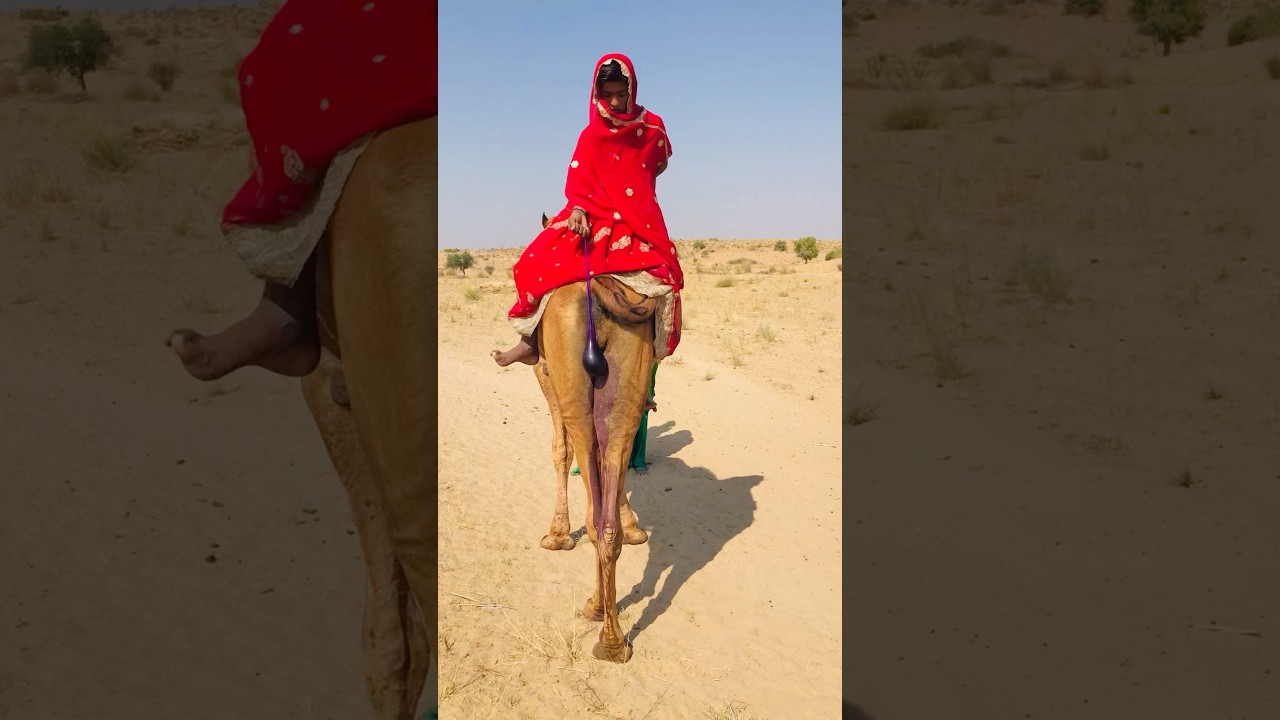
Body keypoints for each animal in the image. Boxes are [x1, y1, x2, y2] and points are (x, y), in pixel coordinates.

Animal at [530, 236, 660, 663]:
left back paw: (600, 615)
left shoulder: (543, 370)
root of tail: (600, 287)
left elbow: (559, 450)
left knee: (584, 457)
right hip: (630, 358)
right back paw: (613, 638)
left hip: (567, 368)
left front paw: (556, 535)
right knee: (605, 511)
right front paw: (635, 527)